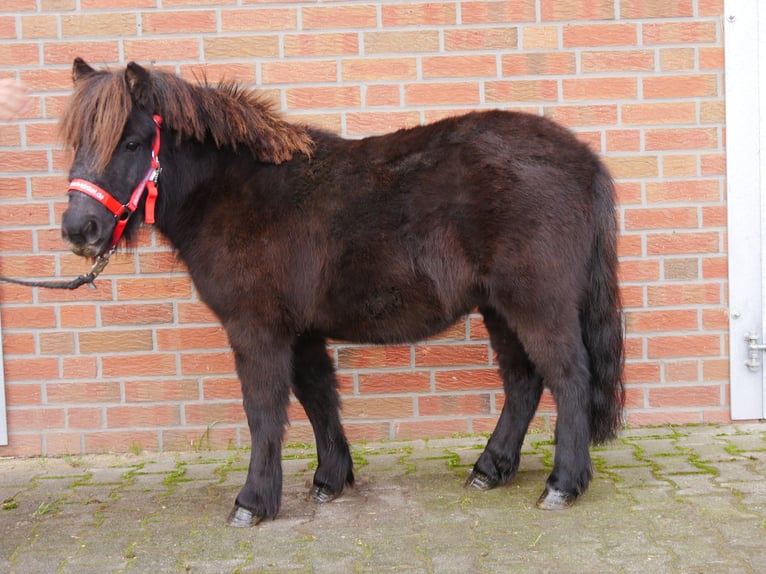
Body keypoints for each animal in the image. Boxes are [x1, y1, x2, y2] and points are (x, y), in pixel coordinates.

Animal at [60, 57, 624, 528]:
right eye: (77, 144)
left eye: (132, 143)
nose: (78, 229)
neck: (236, 190)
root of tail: (584, 160)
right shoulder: (301, 330)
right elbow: (317, 396)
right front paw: (330, 479)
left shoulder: (256, 328)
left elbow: (264, 412)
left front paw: (253, 502)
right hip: (499, 308)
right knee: (524, 382)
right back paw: (491, 468)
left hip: (536, 303)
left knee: (569, 377)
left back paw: (562, 484)